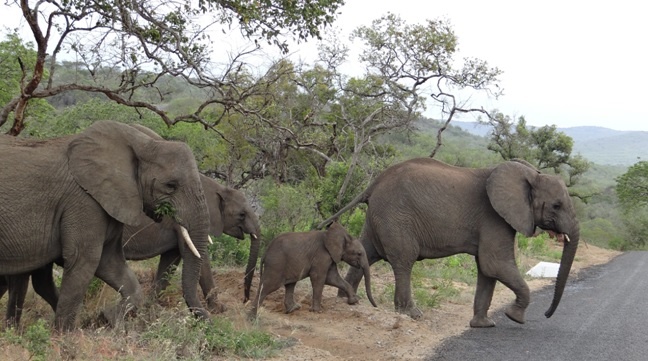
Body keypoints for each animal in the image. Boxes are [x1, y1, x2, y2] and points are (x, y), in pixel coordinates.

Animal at [249, 221, 380, 316]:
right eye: (359, 253)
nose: (376, 306)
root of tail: (265, 252)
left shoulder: (330, 257)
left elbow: (332, 278)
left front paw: (354, 301)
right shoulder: (322, 255)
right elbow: (318, 278)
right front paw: (317, 311)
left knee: (290, 285)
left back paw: (294, 309)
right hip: (276, 264)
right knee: (268, 286)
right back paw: (252, 315)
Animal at [322, 158, 580, 326]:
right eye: (557, 205)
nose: (547, 314)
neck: (532, 176)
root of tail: (374, 183)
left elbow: (487, 269)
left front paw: (483, 325)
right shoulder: (494, 218)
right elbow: (495, 264)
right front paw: (514, 318)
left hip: (380, 216)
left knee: (367, 251)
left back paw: (347, 301)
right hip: (395, 216)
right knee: (404, 260)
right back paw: (412, 314)